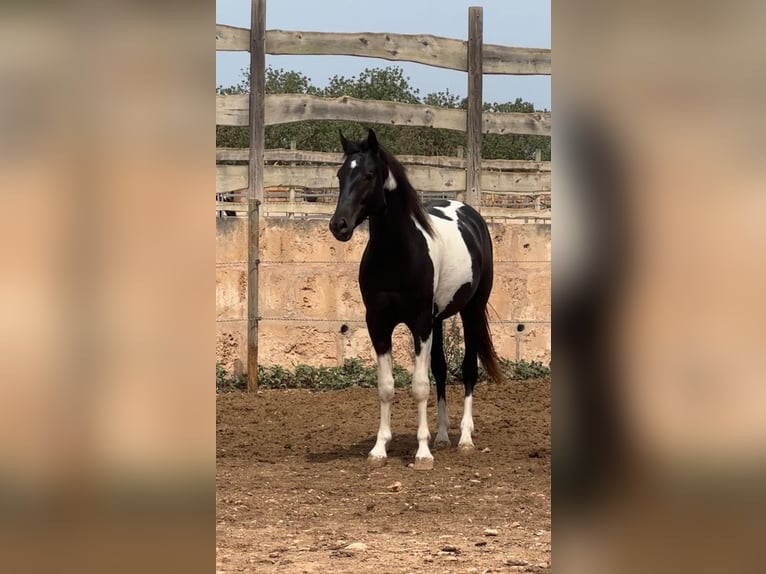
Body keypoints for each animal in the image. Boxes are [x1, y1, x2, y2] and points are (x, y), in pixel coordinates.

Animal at [329, 128, 503, 470]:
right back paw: (442, 436)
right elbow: (387, 387)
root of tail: (469, 213)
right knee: (440, 369)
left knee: (467, 369)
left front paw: (422, 453)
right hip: (438, 319)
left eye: (369, 175)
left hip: (471, 311)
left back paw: (464, 438)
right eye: (341, 174)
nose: (338, 225)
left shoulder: (419, 323)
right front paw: (379, 448)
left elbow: (420, 386)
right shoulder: (379, 324)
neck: (398, 254)